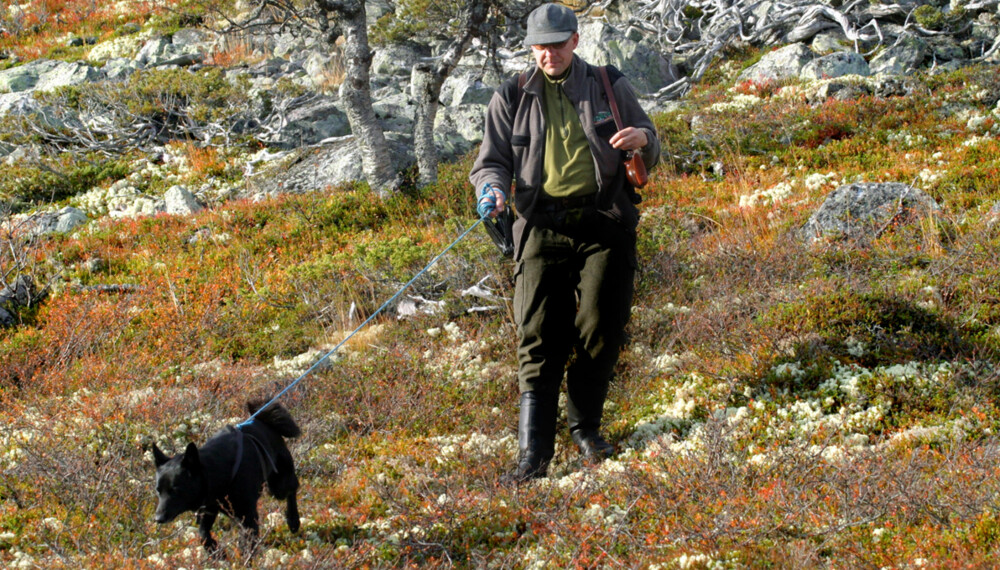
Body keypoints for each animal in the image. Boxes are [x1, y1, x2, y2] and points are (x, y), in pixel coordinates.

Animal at [152, 400, 300, 552]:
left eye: (175, 490)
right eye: (158, 491)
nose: (158, 519)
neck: (215, 472)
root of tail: (265, 422)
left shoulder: (248, 516)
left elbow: (247, 544)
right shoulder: (209, 510)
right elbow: (203, 534)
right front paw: (216, 551)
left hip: (278, 486)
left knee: (293, 488)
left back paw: (293, 520)